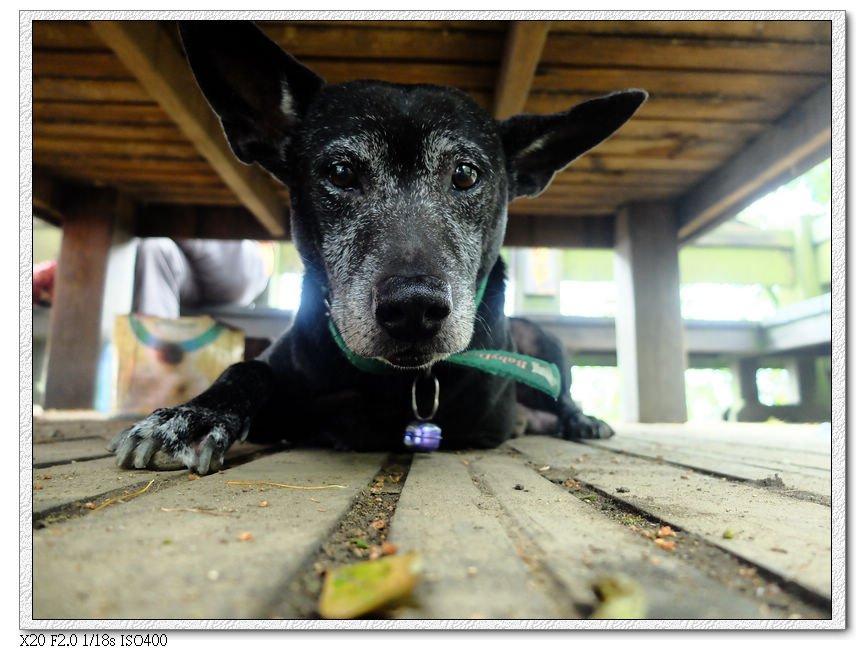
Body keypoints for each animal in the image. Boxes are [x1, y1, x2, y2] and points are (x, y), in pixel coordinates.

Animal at [108, 22, 644, 474]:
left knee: (560, 395)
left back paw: (577, 420)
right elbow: (247, 370)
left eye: (465, 174)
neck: (398, 383)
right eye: (341, 171)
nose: (414, 309)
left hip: (543, 341)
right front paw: (192, 416)